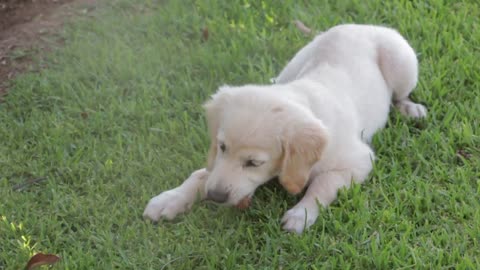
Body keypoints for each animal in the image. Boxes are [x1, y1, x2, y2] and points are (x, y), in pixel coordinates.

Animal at [143, 24, 428, 233]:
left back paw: (410, 109)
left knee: (400, 95)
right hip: (294, 63)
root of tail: (360, 25)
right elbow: (200, 174)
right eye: (221, 147)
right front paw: (170, 198)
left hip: (402, 62)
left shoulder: (358, 162)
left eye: (254, 163)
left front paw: (301, 214)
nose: (214, 196)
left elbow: (323, 185)